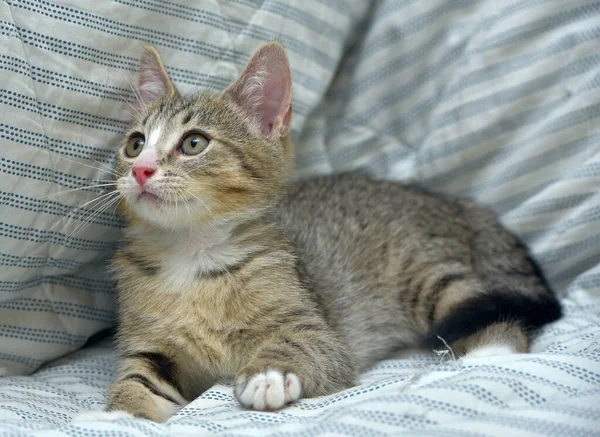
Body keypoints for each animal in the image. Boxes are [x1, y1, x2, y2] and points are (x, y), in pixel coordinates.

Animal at [99, 42, 564, 420]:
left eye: (194, 143)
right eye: (135, 144)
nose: (141, 170)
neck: (190, 257)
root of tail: (455, 203)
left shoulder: (315, 326)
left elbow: (304, 345)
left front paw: (268, 373)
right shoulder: (150, 347)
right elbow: (137, 380)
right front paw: (118, 416)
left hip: (425, 273)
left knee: (486, 306)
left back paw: (486, 355)